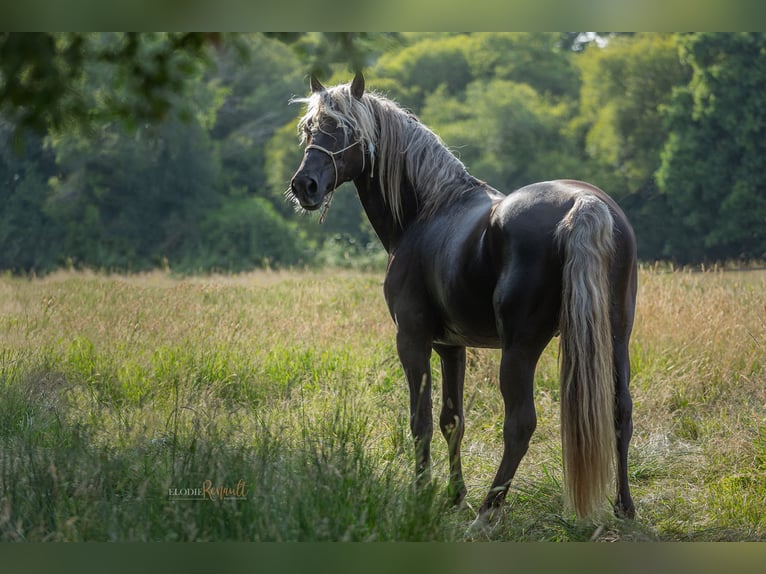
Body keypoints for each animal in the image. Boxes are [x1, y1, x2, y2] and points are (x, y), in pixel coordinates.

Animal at [292, 73, 640, 532]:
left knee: (520, 424)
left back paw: (488, 514)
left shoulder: (414, 340)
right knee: (620, 411)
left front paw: (422, 497)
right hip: (615, 338)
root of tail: (586, 204)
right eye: (309, 129)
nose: (305, 186)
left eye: (345, 130)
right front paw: (453, 497)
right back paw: (624, 507)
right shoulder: (450, 345)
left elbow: (420, 421)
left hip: (520, 348)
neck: (428, 211)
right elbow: (451, 420)